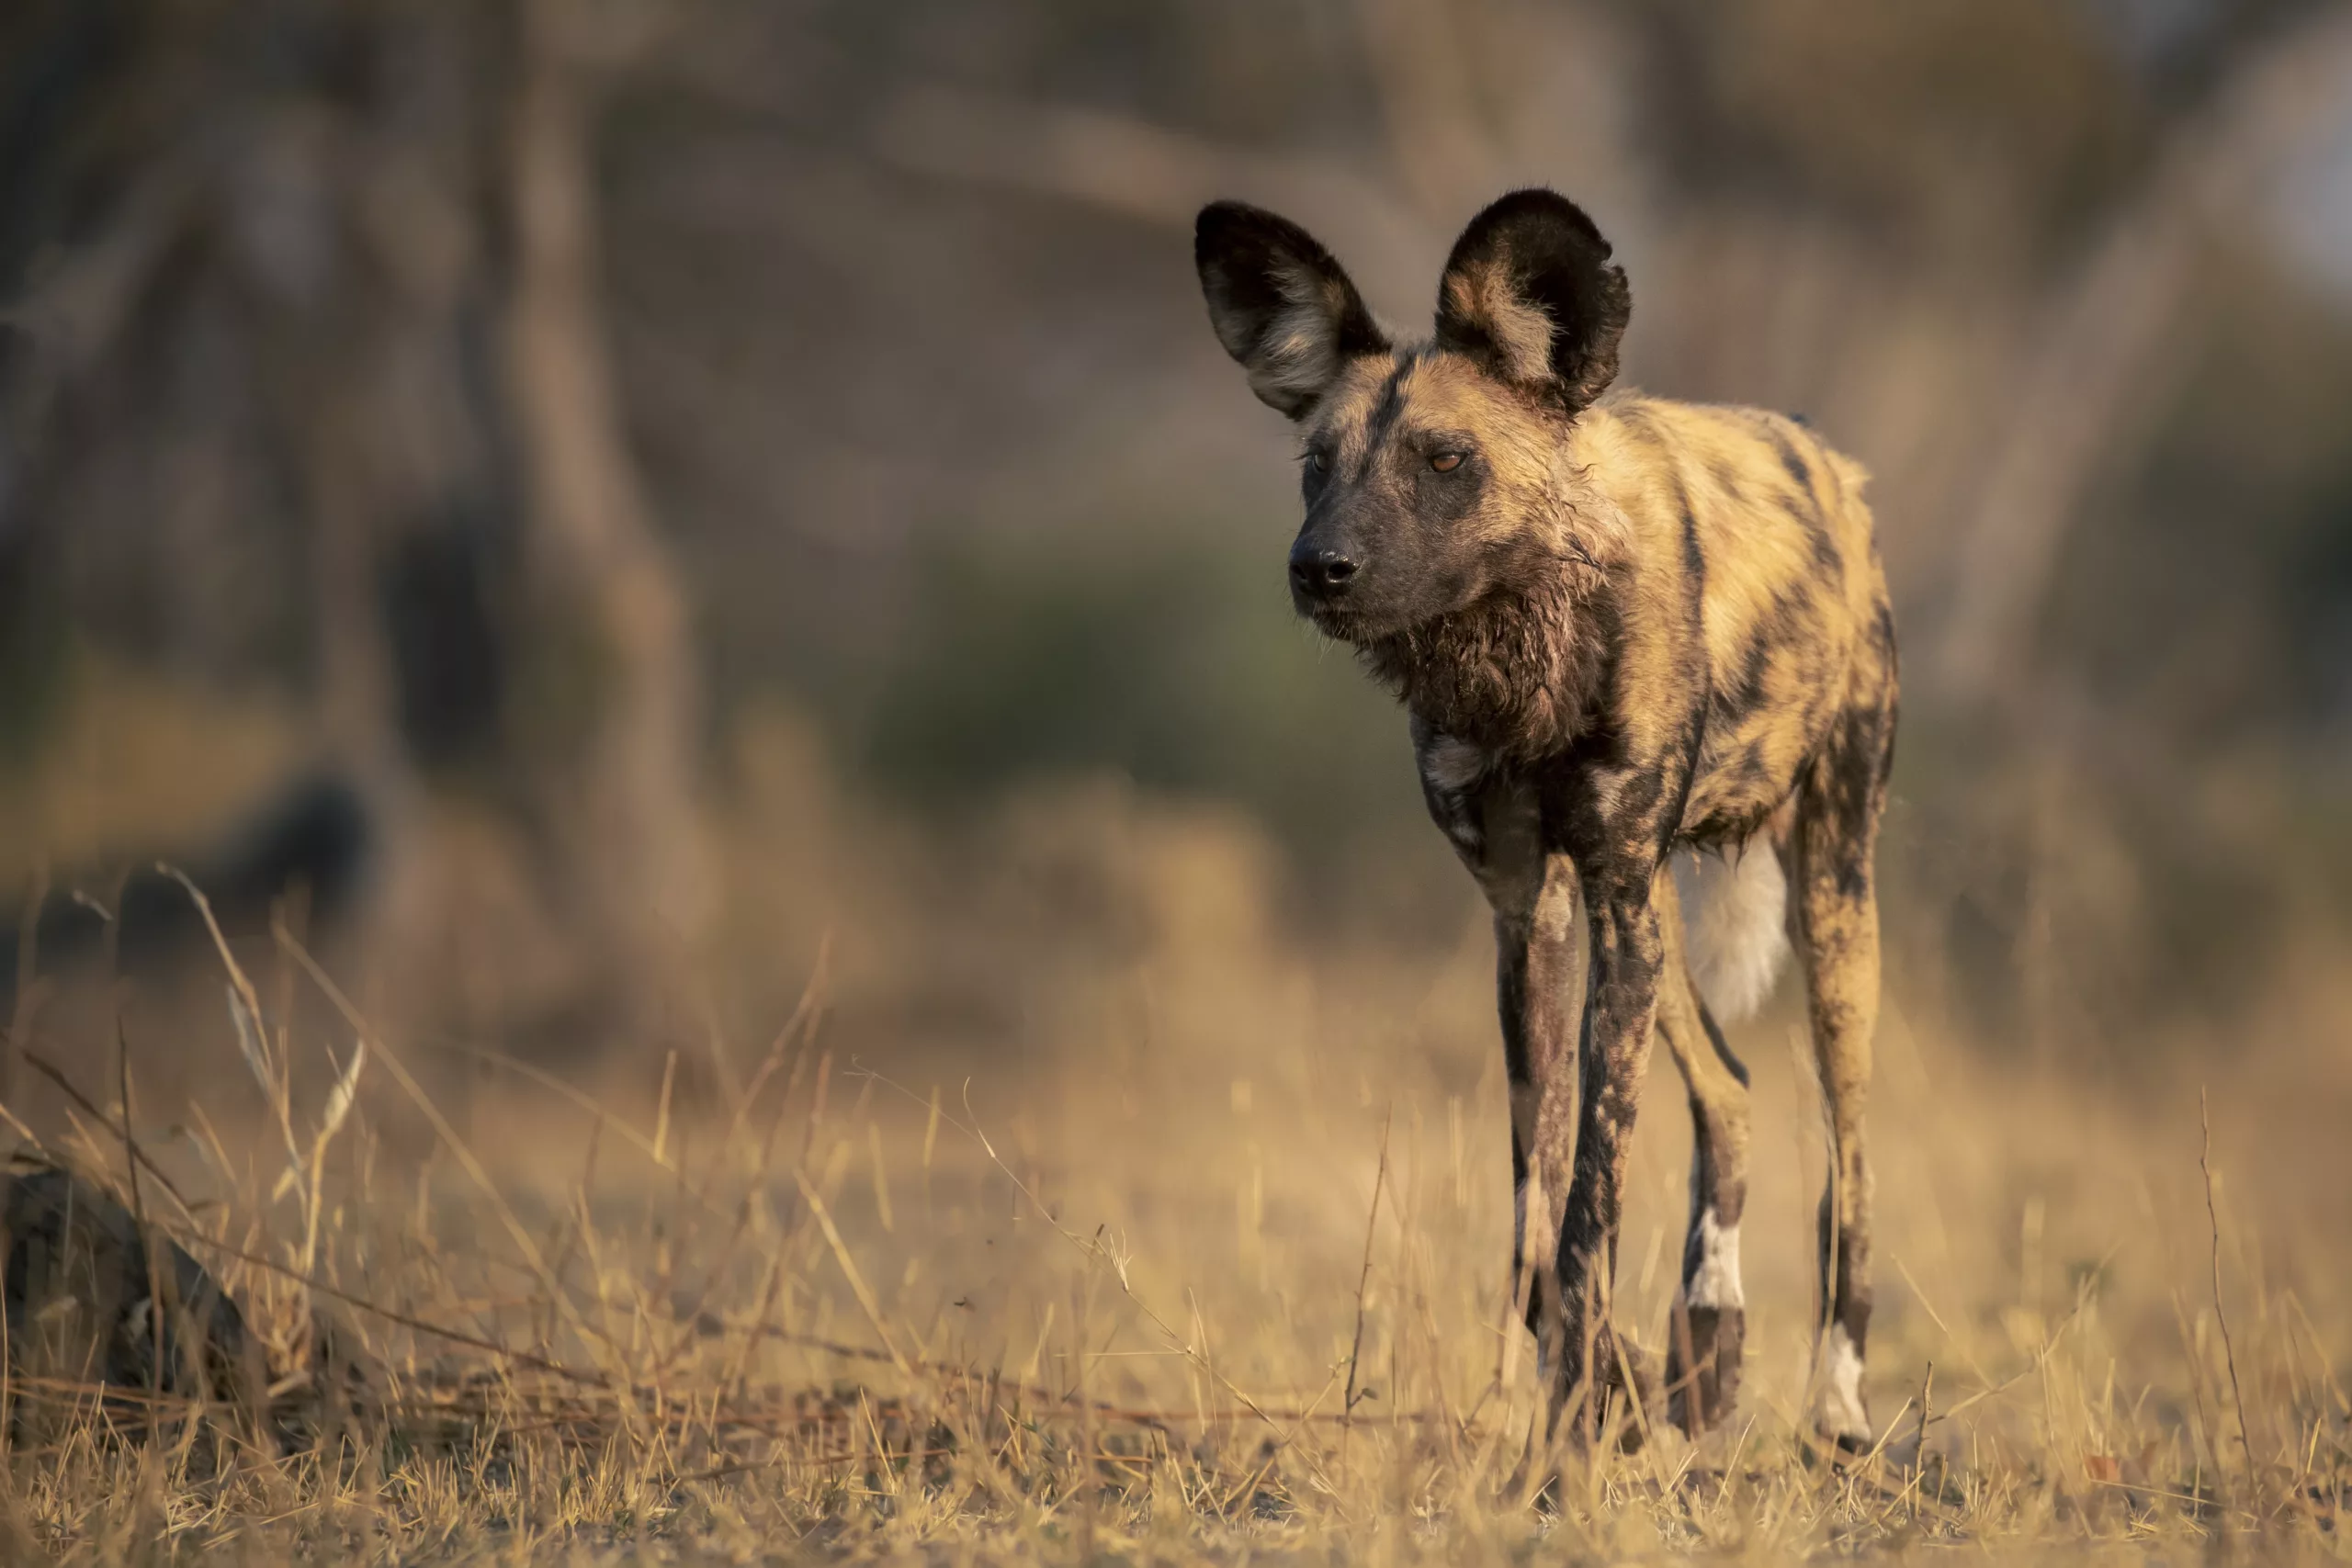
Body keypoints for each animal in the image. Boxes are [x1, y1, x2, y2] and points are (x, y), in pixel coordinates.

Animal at [1204, 190, 1900, 1457]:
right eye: (1316, 467)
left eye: (1443, 461)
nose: (1316, 568)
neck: (1525, 655)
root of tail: (1824, 453)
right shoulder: (1533, 908)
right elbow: (1537, 1199)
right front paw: (1594, 1386)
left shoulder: (1606, 905)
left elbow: (1588, 1204)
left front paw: (1577, 1418)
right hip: (1653, 918)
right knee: (1731, 1092)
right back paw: (1707, 1348)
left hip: (1830, 905)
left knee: (1849, 1167)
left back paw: (1836, 1407)